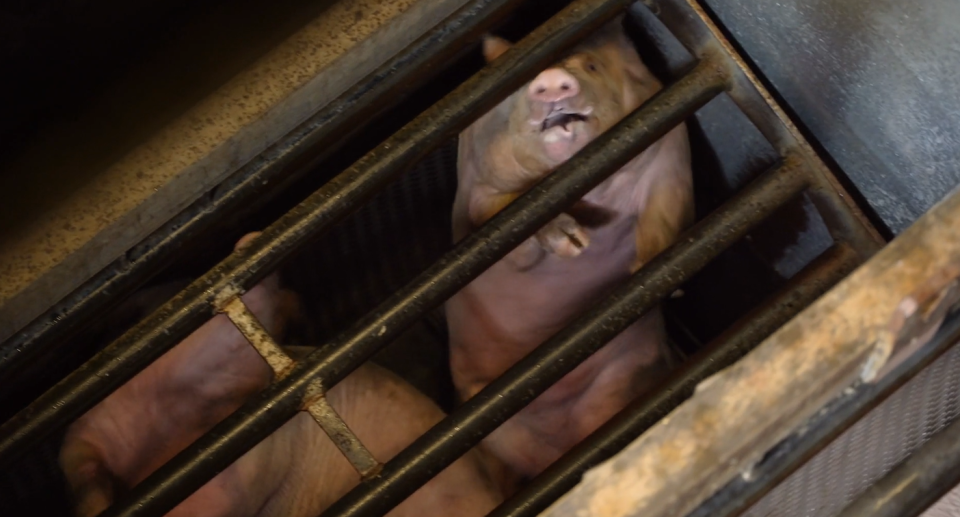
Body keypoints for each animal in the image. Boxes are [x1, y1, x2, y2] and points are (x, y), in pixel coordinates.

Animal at [446, 17, 692, 484]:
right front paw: (574, 243)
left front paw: (655, 276)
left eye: (591, 66)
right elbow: (507, 224)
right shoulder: (477, 197)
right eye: (519, 87)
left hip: (623, 374)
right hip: (497, 427)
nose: (550, 79)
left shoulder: (668, 148)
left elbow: (665, 208)